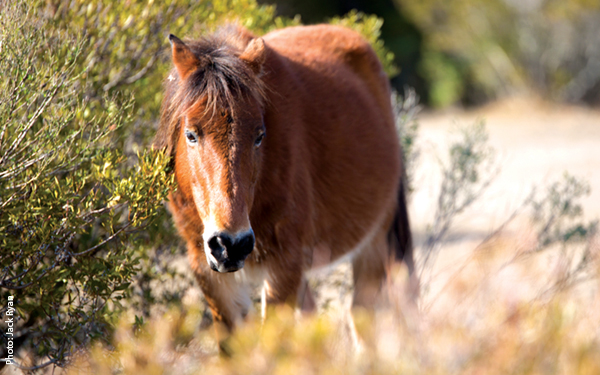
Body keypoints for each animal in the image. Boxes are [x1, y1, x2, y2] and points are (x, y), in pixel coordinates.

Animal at [155, 25, 414, 338]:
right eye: (191, 134)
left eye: (259, 136)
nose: (231, 245)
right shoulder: (211, 276)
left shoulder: (284, 268)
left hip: (373, 243)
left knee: (362, 314)